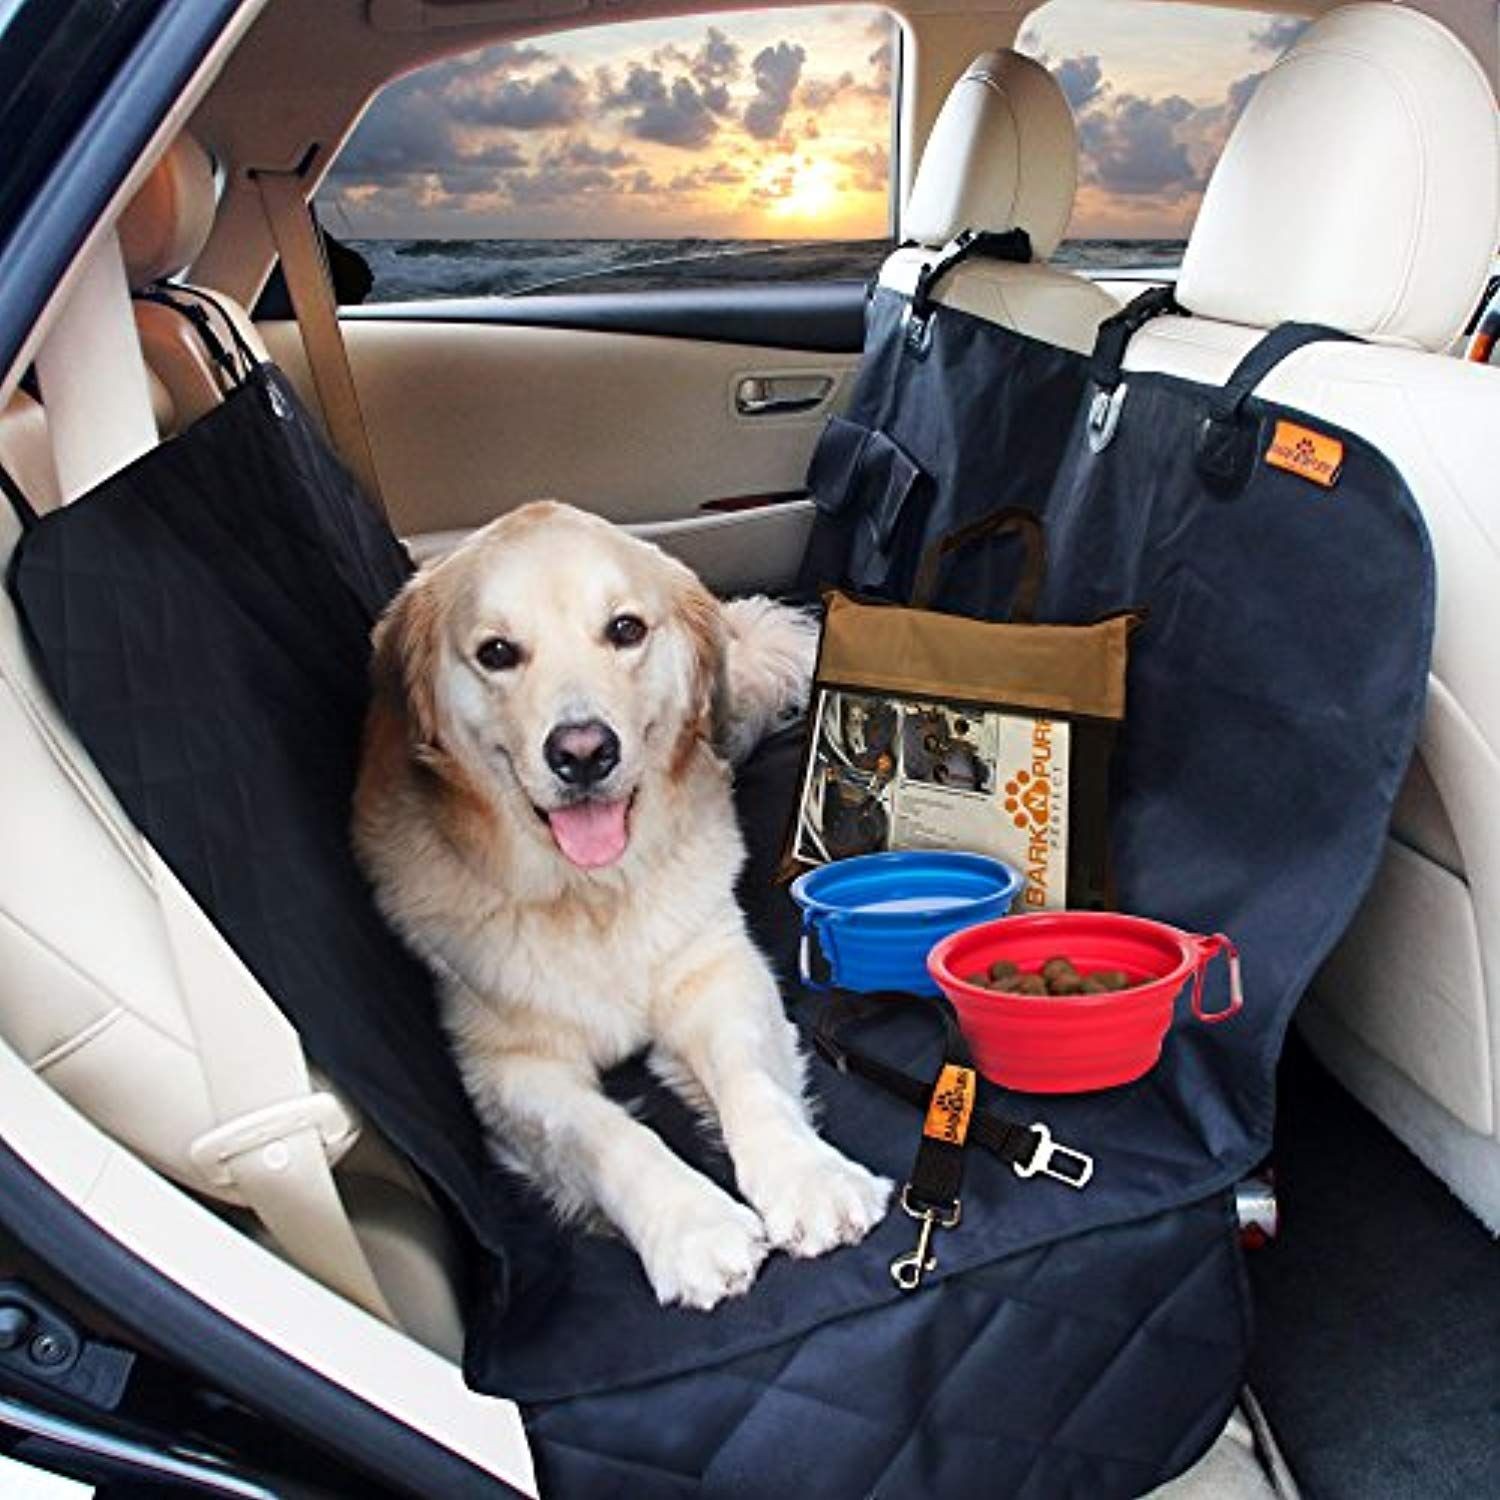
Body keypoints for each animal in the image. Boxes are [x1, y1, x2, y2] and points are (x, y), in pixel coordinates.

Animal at [353, 502, 890, 1309]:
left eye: (626, 629)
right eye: (497, 652)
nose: (582, 752)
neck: (592, 896)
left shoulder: (716, 970)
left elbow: (752, 1081)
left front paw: (809, 1177)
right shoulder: (505, 1065)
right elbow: (606, 1135)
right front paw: (694, 1227)